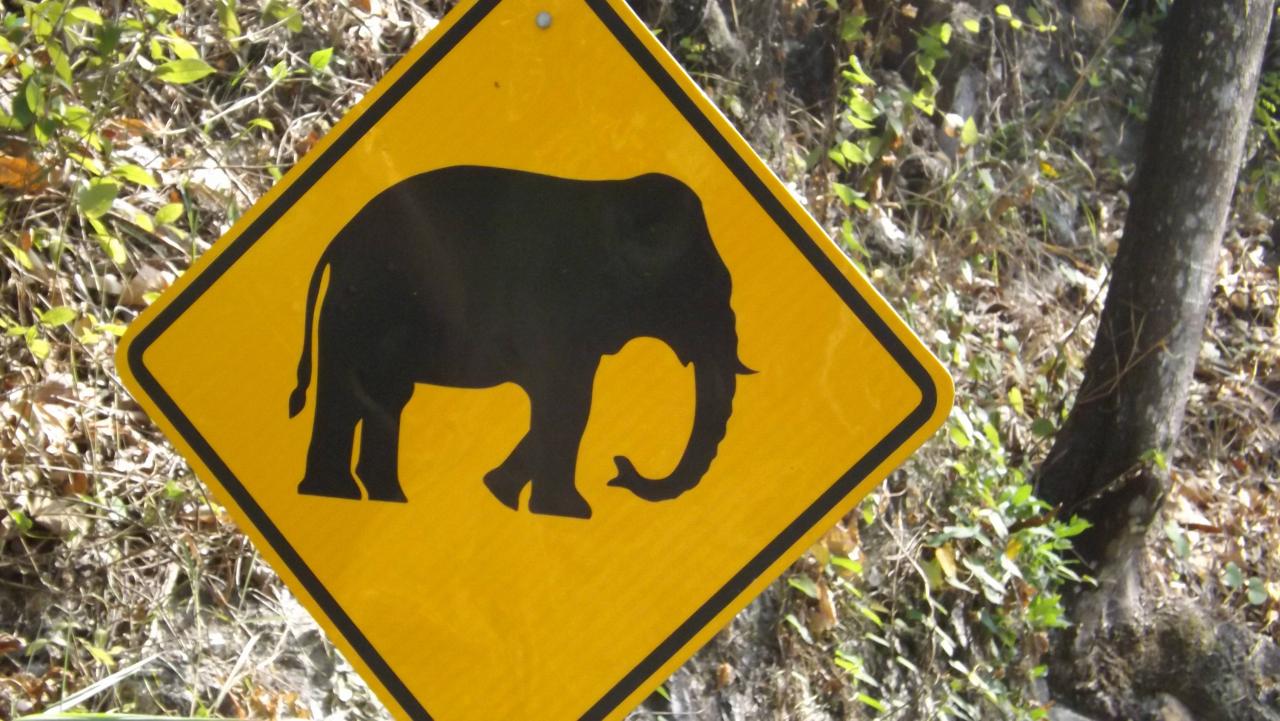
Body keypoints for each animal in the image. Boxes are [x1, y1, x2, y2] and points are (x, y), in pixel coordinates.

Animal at [288, 165, 752, 519]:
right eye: (705, 291)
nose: (619, 468)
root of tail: (336, 242)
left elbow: (570, 406)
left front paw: (502, 494)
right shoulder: (558, 312)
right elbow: (570, 404)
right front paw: (568, 513)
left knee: (383, 396)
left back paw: (384, 496)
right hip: (361, 304)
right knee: (347, 394)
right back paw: (337, 494)